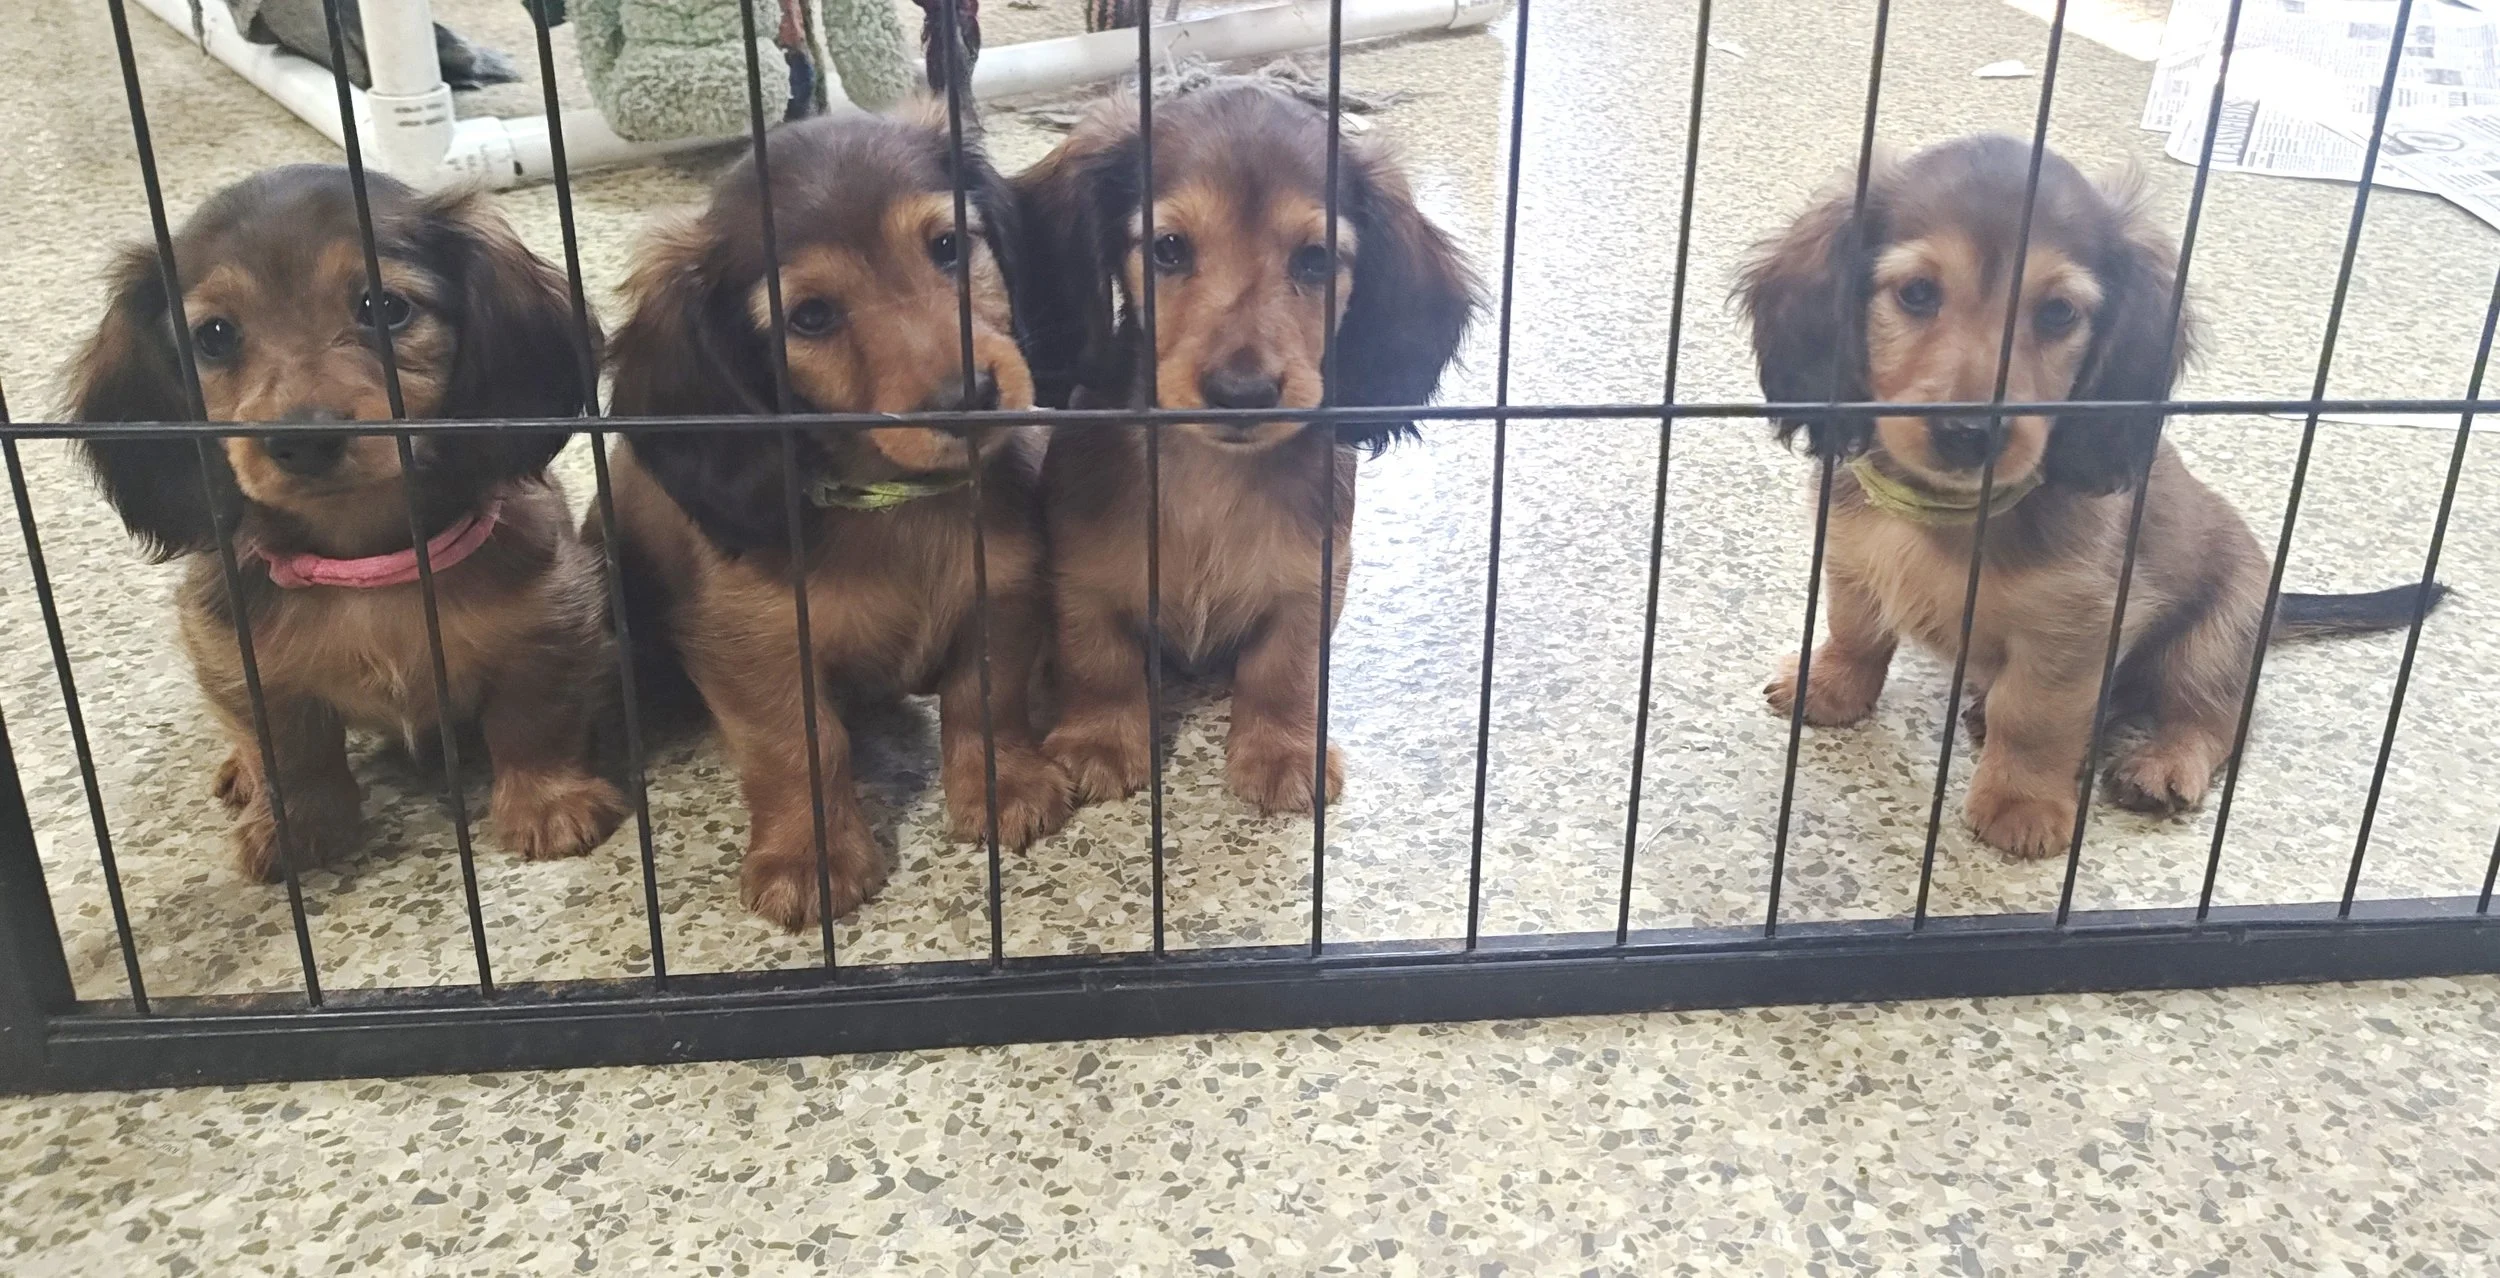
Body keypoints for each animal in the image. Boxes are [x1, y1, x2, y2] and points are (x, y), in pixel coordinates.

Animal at [70, 164, 626, 880]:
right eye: (214, 336)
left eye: (385, 307)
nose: (304, 440)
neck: (366, 561)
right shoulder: (234, 655)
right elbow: (288, 752)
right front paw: (297, 829)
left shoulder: (550, 619)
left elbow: (534, 720)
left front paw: (548, 804)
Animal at [597, 105, 1065, 929]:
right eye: (811, 316)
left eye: (948, 246)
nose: (970, 393)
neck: (902, 509)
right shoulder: (757, 645)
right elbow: (798, 748)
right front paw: (809, 855)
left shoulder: (1003, 592)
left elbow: (985, 700)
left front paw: (1005, 785)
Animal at [1011, 82, 1479, 814]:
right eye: (1169, 248)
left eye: (1315, 260)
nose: (1243, 392)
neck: (1213, 473)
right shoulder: (1081, 573)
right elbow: (1098, 658)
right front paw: (1101, 739)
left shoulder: (1312, 581)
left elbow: (1284, 669)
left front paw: (1283, 750)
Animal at [1738, 134, 2446, 860]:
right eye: (1916, 292)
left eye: (2057, 313)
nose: (1971, 431)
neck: (1948, 515)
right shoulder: (1853, 561)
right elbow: (1855, 633)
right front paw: (1829, 686)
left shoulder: (2073, 630)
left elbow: (2034, 717)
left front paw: (2020, 803)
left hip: (2212, 638)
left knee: (2216, 718)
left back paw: (2163, 763)